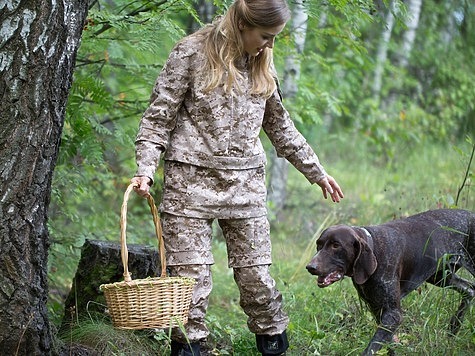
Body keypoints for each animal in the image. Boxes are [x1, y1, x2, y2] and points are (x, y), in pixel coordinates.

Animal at [306, 209, 474, 356]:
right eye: (319, 244)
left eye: (336, 245)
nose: (310, 267)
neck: (374, 249)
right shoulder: (378, 310)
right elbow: (387, 343)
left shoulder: (393, 314)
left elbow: (372, 348)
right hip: (441, 277)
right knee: (470, 289)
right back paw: (454, 327)